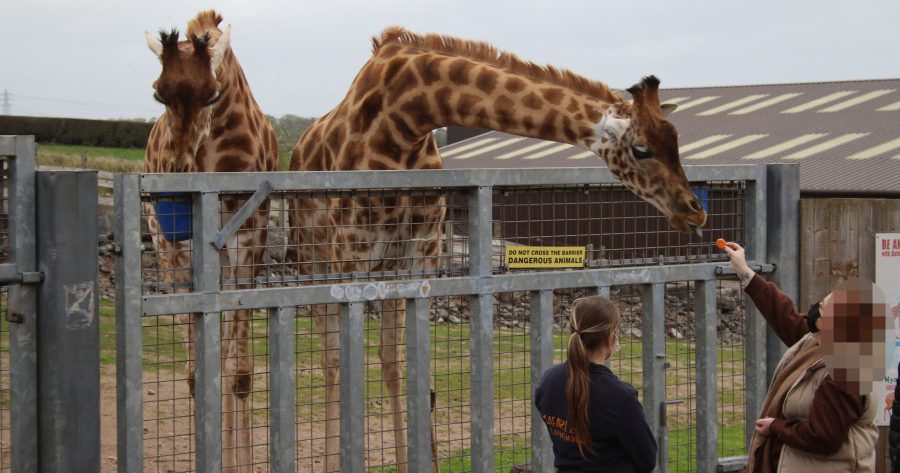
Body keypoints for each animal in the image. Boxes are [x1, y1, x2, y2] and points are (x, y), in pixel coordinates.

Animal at [143, 11, 278, 472]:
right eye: (158, 93)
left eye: (212, 95)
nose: (179, 173)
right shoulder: (173, 249)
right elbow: (195, 374)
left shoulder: (248, 244)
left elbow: (239, 373)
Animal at [290, 27, 712, 470]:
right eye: (641, 149)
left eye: (677, 142)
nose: (695, 210)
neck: (407, 116)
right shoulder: (351, 251)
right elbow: (347, 361)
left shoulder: (420, 254)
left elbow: (405, 364)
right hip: (314, 262)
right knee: (331, 360)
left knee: (382, 359)